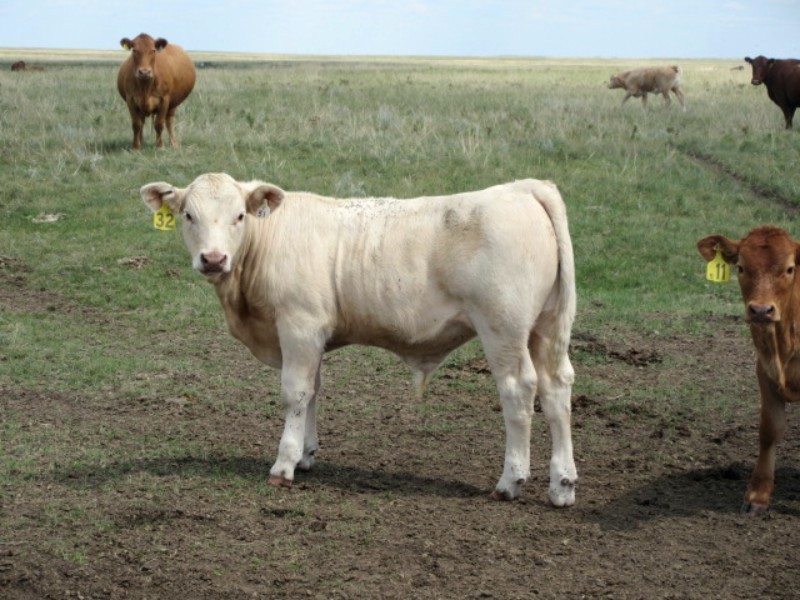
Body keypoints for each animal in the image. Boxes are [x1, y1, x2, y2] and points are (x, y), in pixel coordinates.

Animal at [139, 173, 578, 507]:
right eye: (188, 215)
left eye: (239, 215)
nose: (213, 259)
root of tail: (522, 188)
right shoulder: (312, 337)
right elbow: (314, 390)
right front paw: (306, 455)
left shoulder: (299, 326)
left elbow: (295, 393)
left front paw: (284, 465)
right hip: (545, 328)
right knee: (556, 390)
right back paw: (562, 485)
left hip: (502, 328)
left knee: (518, 391)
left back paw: (510, 481)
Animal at [698, 226, 800, 514]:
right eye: (741, 267)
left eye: (789, 269)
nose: (761, 310)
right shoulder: (764, 371)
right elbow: (769, 430)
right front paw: (758, 494)